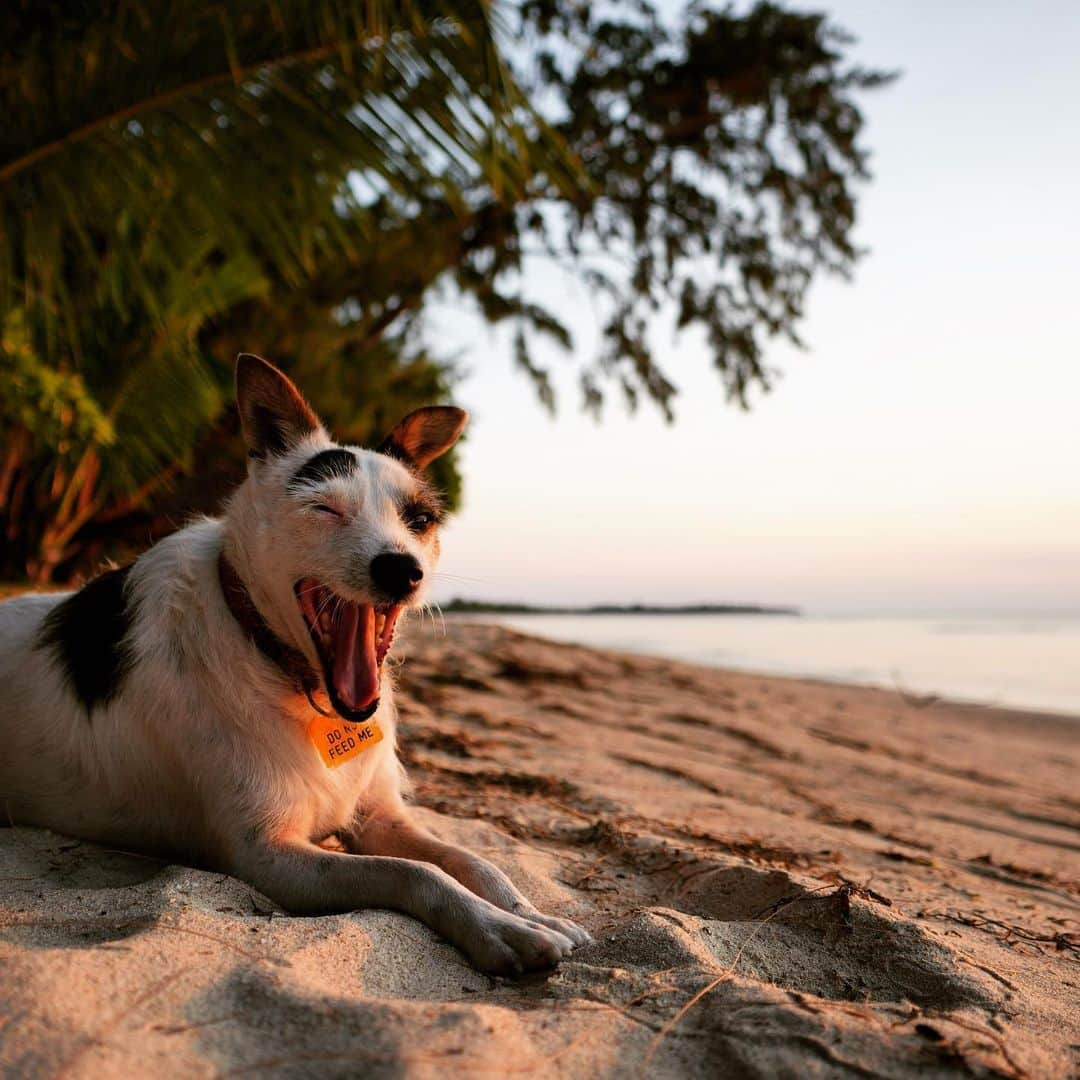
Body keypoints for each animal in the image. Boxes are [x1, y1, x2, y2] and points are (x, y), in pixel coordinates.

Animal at [0, 354, 591, 972]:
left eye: (420, 520)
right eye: (325, 508)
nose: (402, 569)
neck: (285, 670)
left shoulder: (379, 816)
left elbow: (471, 859)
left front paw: (526, 911)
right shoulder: (271, 856)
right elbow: (415, 873)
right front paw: (498, 927)